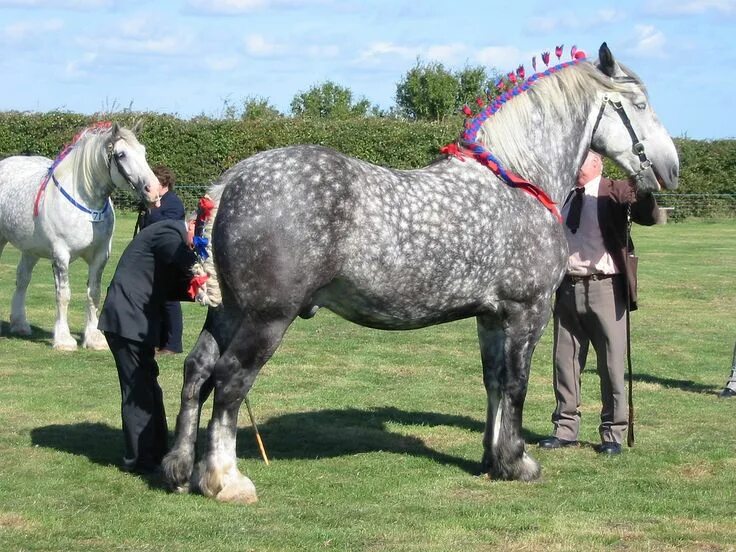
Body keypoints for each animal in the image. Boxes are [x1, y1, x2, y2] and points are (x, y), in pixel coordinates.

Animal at [0, 123, 160, 352]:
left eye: (144, 151)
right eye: (121, 155)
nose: (154, 190)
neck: (85, 207)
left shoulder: (100, 256)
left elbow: (94, 293)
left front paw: (94, 338)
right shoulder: (60, 255)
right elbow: (63, 295)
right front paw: (63, 340)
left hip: (31, 250)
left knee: (22, 279)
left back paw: (20, 324)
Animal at [162, 43, 680, 502]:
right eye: (639, 104)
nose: (671, 169)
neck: (518, 179)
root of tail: (231, 181)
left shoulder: (490, 317)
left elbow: (494, 383)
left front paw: (492, 461)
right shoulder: (526, 312)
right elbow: (517, 385)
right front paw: (519, 463)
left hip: (229, 313)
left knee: (197, 372)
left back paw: (179, 469)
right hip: (266, 319)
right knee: (230, 381)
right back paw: (226, 481)